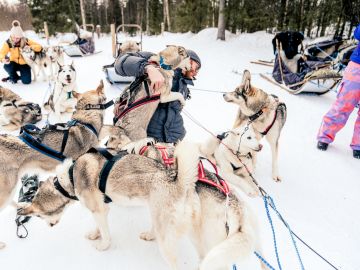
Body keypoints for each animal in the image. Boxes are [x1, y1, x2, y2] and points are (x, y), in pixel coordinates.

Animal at [19, 141, 268, 270]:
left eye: (39, 217)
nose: (48, 226)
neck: (69, 178)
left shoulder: (99, 210)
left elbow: (105, 234)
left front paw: (103, 244)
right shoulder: (101, 209)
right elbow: (98, 226)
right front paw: (94, 233)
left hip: (179, 238)